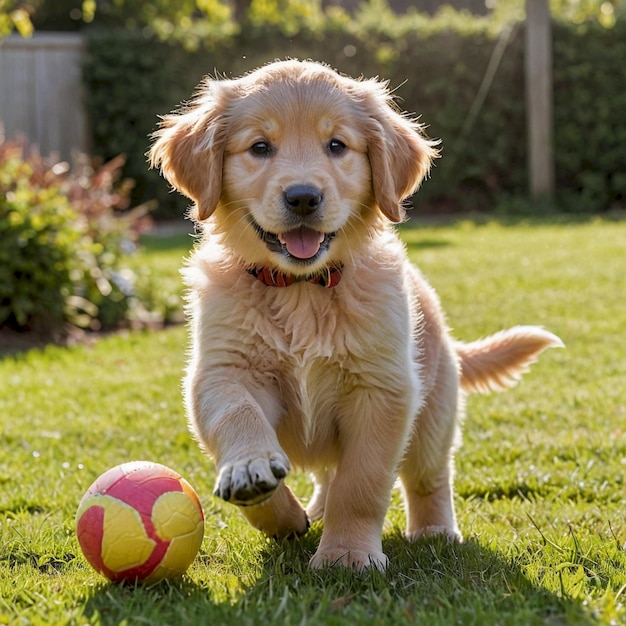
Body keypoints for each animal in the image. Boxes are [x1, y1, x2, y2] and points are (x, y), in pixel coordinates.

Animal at [150, 59, 560, 572]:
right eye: (260, 147)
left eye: (337, 146)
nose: (303, 197)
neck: (303, 289)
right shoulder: (223, 369)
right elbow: (237, 414)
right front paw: (257, 482)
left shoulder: (382, 391)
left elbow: (361, 484)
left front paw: (346, 554)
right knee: (329, 474)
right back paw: (312, 510)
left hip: (433, 414)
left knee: (428, 476)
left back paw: (434, 530)